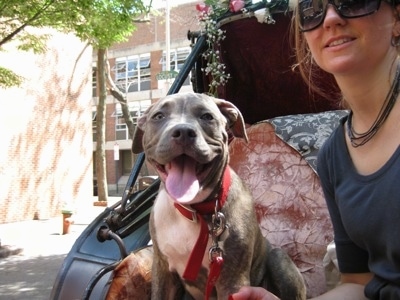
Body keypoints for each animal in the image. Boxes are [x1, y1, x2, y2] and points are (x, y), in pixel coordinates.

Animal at [131, 92, 306, 298]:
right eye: (158, 116)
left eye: (207, 116)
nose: (183, 131)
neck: (193, 211)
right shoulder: (163, 270)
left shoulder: (232, 280)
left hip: (279, 259)